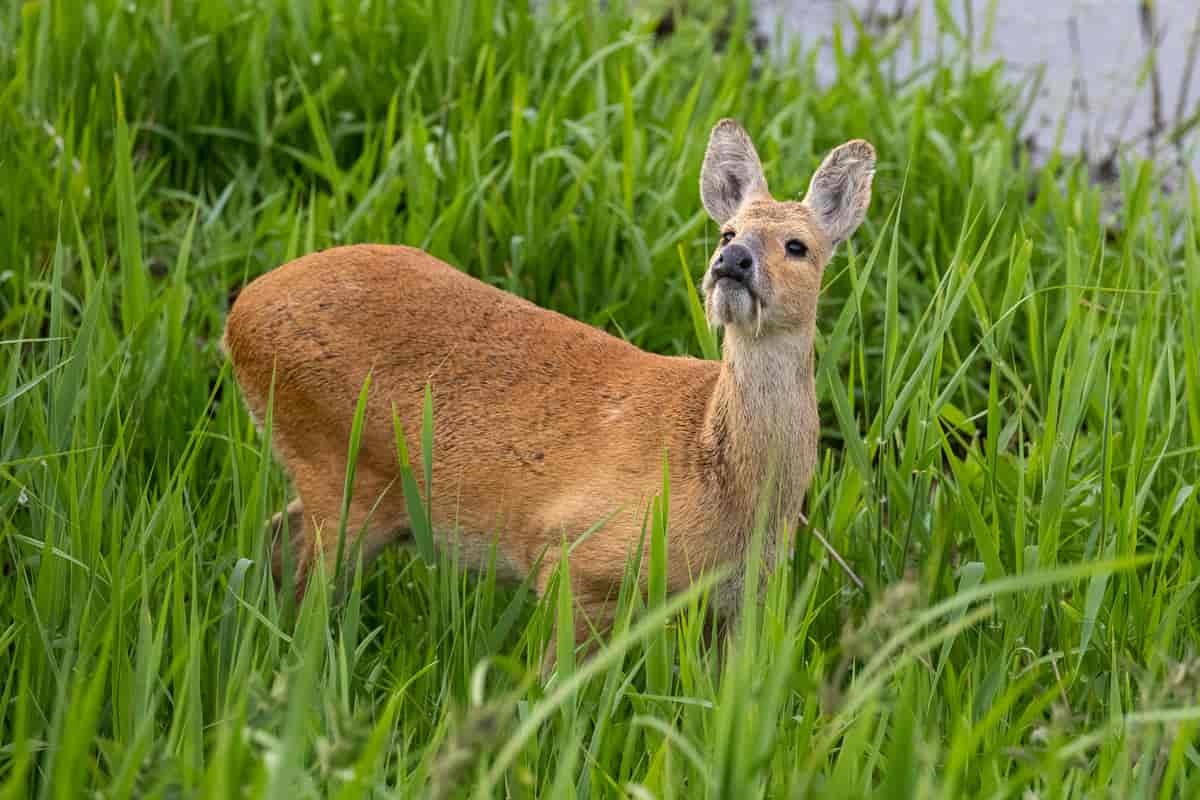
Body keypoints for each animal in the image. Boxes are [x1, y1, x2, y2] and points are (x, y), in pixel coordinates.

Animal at [223, 115, 873, 662]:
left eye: (798, 246)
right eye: (726, 231)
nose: (732, 261)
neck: (722, 480)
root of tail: (239, 314)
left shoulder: (738, 604)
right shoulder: (575, 559)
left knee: (277, 538)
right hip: (334, 465)